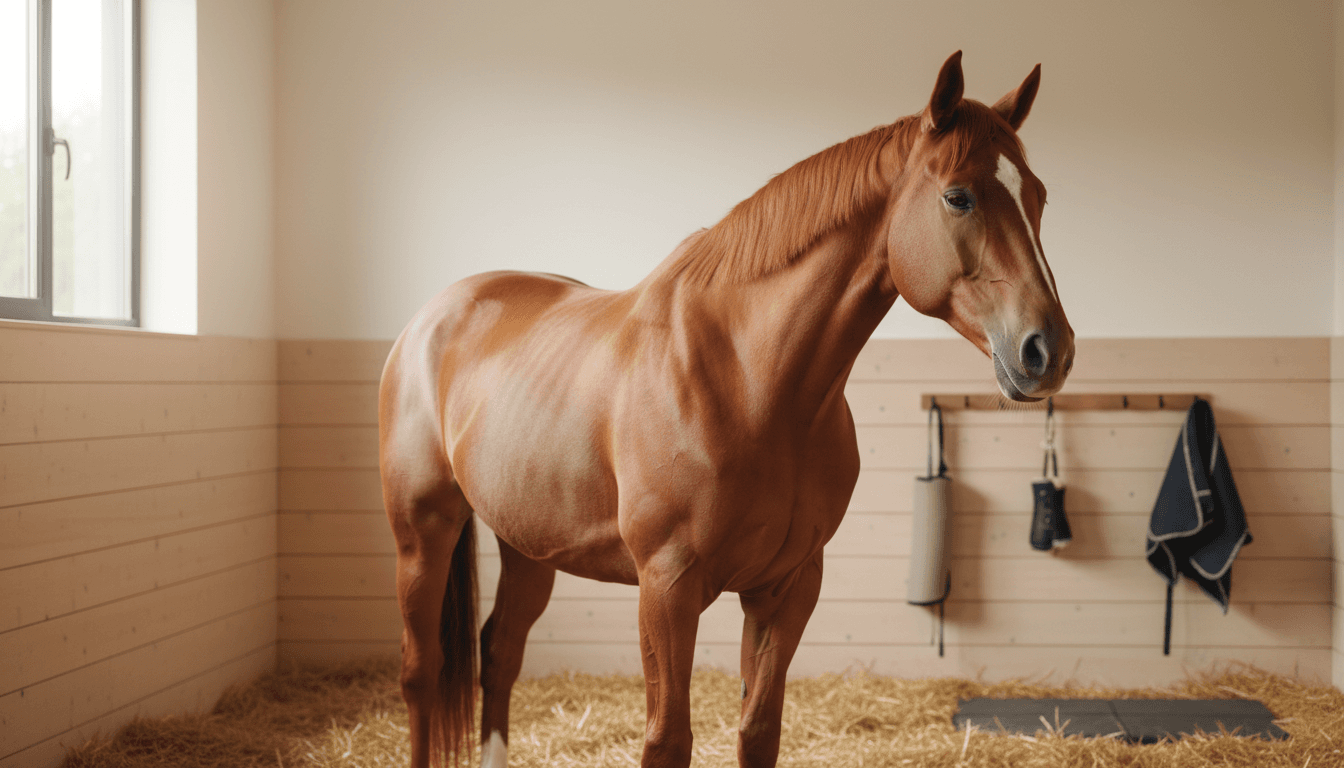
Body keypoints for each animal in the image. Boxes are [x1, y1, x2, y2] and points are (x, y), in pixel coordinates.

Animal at [378, 50, 1073, 768]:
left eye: (1038, 196)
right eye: (958, 195)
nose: (1048, 350)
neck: (750, 382)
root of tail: (433, 318)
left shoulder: (786, 587)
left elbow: (758, 730)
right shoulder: (667, 587)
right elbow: (668, 738)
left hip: (527, 546)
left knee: (500, 652)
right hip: (422, 532)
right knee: (421, 671)